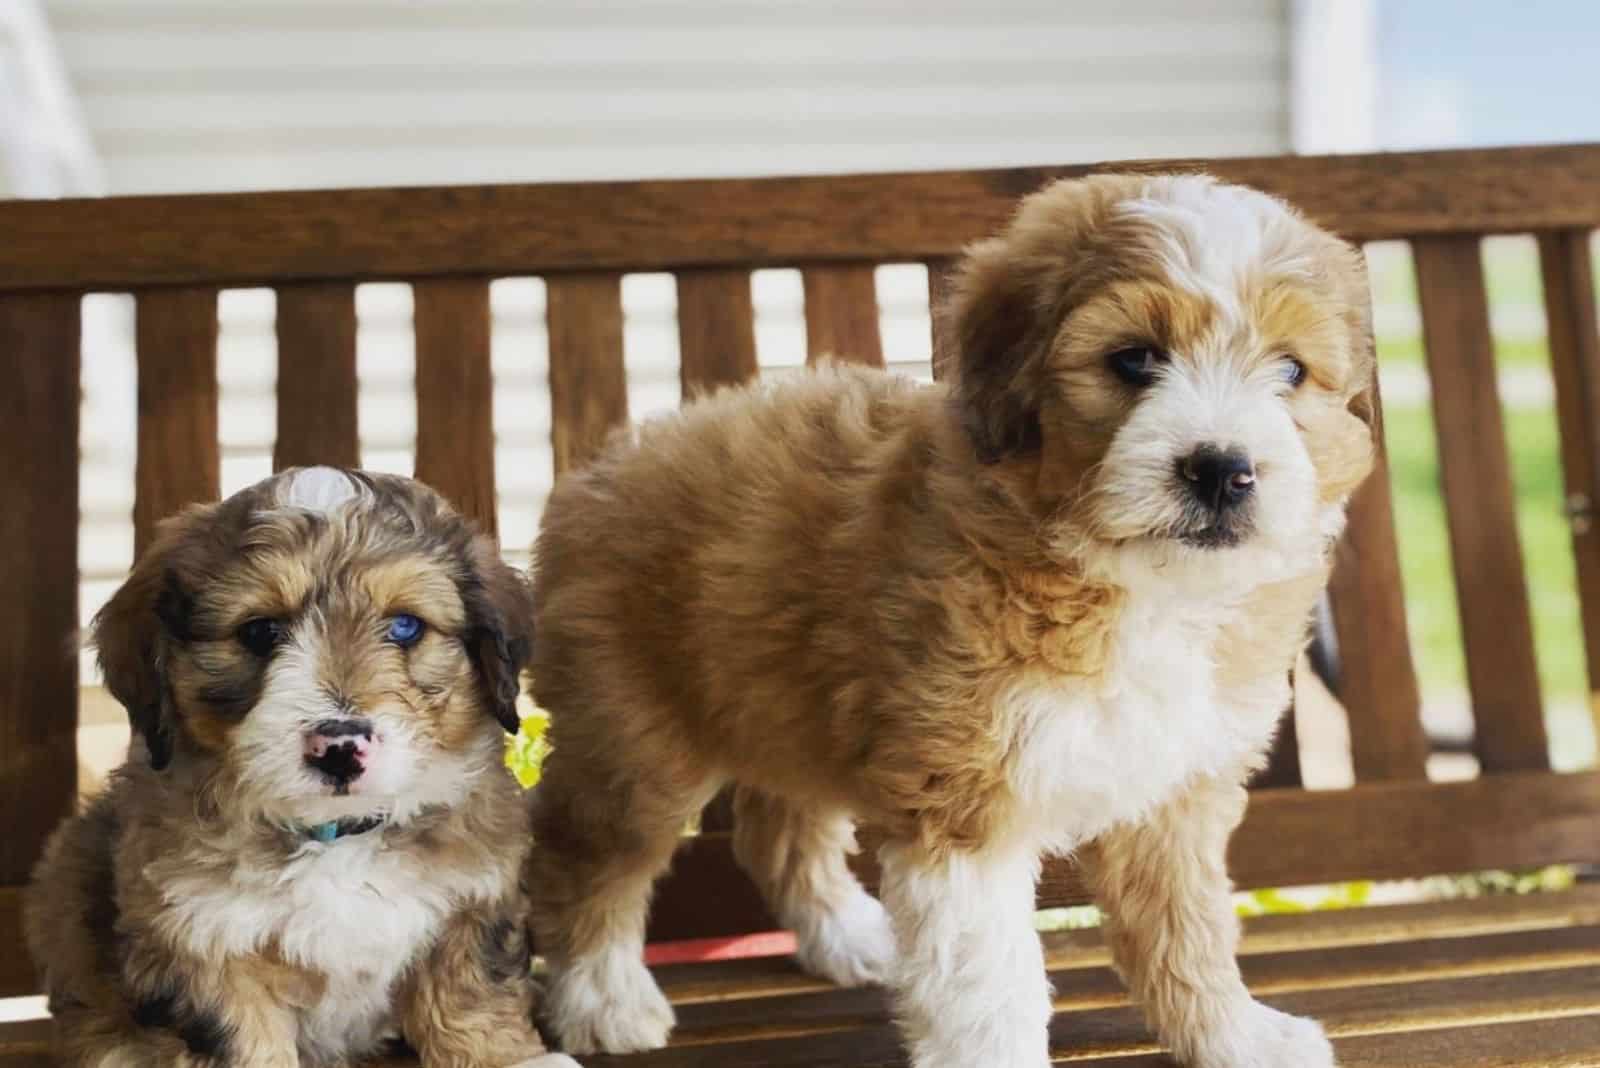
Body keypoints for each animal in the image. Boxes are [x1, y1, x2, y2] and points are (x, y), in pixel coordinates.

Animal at [28, 470, 579, 1068]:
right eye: (260, 631)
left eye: (406, 627)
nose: (338, 746)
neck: (335, 836)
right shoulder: (199, 942)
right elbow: (242, 1038)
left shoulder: (473, 902)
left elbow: (467, 993)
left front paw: (507, 1056)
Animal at [524, 171, 1376, 1061]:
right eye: (1135, 358)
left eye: (1291, 371)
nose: (1221, 470)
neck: (1136, 585)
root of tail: (602, 466)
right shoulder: (966, 797)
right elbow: (988, 983)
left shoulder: (1174, 790)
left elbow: (1190, 929)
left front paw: (1234, 1036)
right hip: (634, 737)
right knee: (586, 857)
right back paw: (604, 998)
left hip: (783, 692)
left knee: (780, 829)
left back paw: (846, 936)